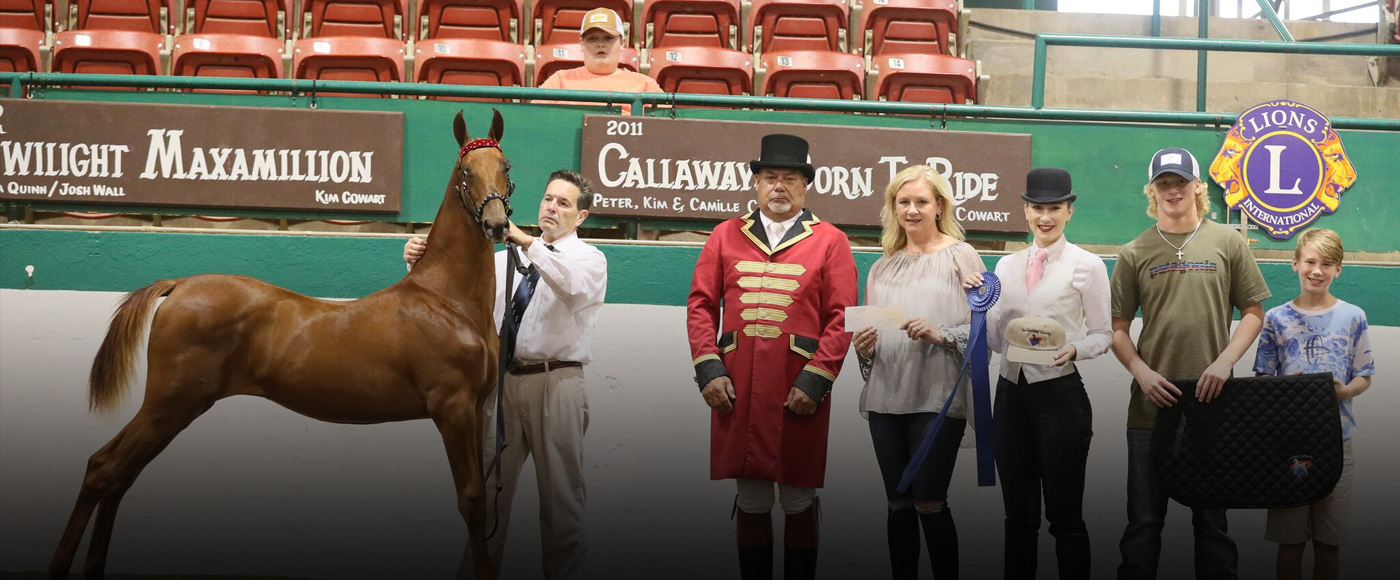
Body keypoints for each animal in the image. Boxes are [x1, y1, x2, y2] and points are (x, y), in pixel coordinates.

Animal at [50, 109, 520, 580]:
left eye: (506, 166)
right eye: (465, 171)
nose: (497, 224)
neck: (445, 302)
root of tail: (179, 285)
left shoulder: (474, 409)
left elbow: (478, 497)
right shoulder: (452, 409)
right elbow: (472, 502)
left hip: (172, 410)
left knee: (114, 474)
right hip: (169, 406)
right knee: (105, 471)